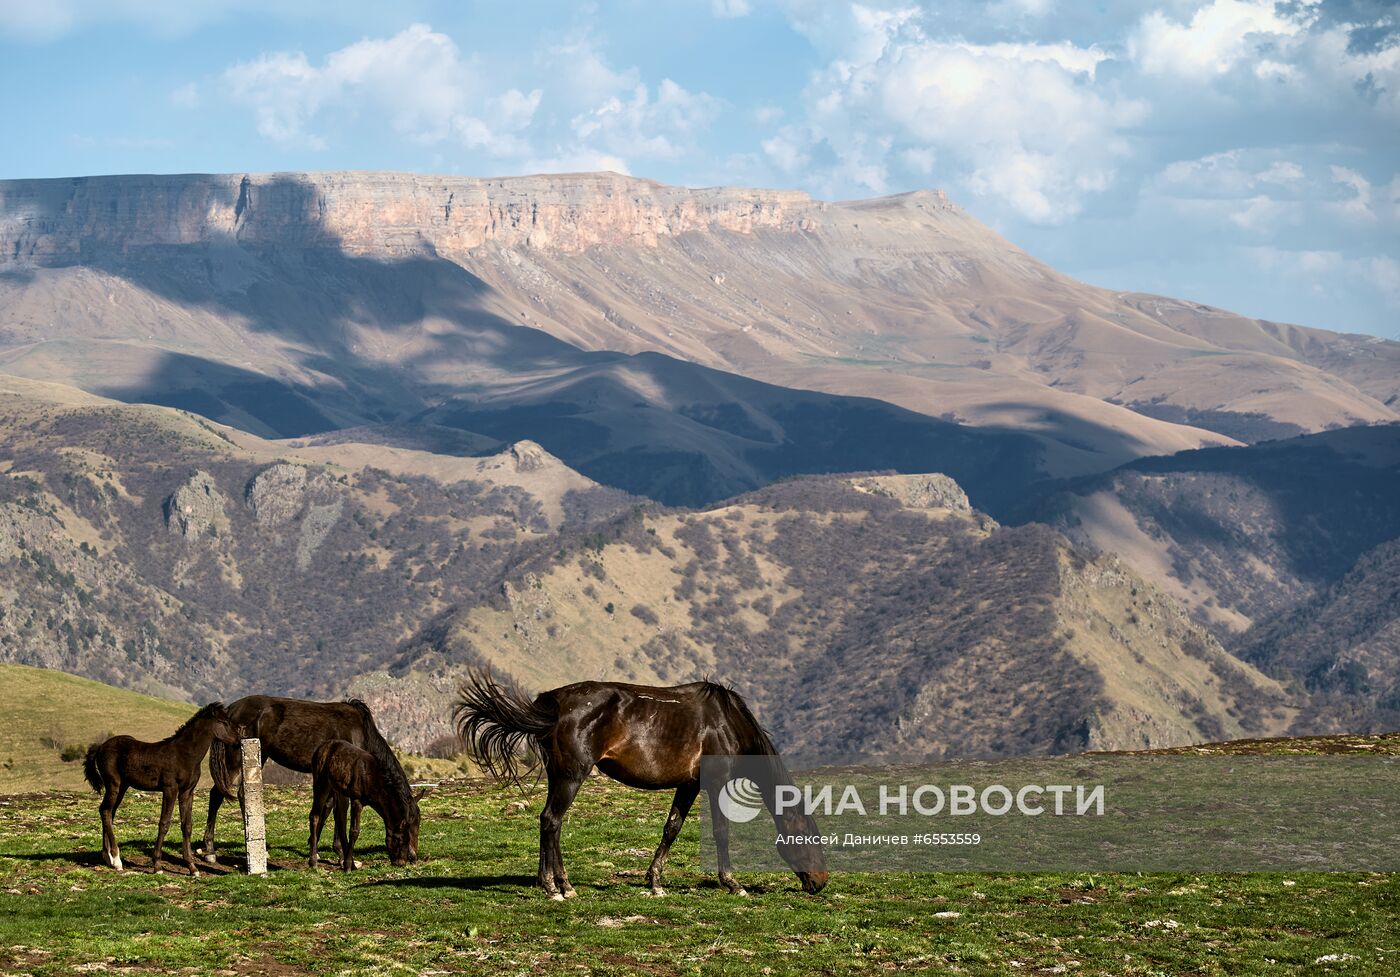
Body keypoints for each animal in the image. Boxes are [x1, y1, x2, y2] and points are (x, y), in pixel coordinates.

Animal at [81, 699, 242, 873]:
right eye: (224, 722)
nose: (239, 740)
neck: (184, 755)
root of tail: (100, 747)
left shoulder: (187, 792)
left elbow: (187, 826)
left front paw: (192, 867)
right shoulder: (170, 789)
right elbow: (164, 823)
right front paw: (157, 864)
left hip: (122, 787)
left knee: (109, 812)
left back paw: (107, 857)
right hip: (113, 785)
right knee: (105, 811)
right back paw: (116, 860)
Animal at [200, 691, 414, 862]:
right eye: (410, 828)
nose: (411, 857)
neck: (360, 731)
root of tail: (230, 710)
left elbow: (327, 809)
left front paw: (316, 847)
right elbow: (335, 810)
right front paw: (339, 852)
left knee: (226, 794)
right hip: (237, 759)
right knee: (222, 795)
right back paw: (213, 850)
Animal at [453, 669, 823, 895]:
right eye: (807, 837)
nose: (820, 882)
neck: (727, 722)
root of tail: (553, 702)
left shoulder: (689, 785)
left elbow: (672, 828)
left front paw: (655, 881)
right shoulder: (716, 783)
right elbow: (721, 831)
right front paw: (732, 883)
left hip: (558, 775)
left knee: (548, 822)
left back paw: (552, 883)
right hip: (572, 775)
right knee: (552, 820)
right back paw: (559, 887)